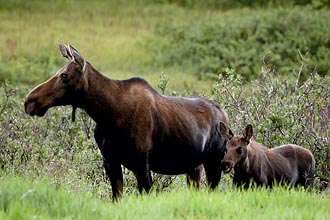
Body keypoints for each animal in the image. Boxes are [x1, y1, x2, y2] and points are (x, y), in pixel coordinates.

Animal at [24, 41, 228, 201]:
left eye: (64, 75)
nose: (30, 100)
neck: (106, 113)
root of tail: (224, 112)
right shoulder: (110, 160)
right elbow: (117, 197)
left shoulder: (142, 162)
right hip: (194, 167)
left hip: (215, 161)